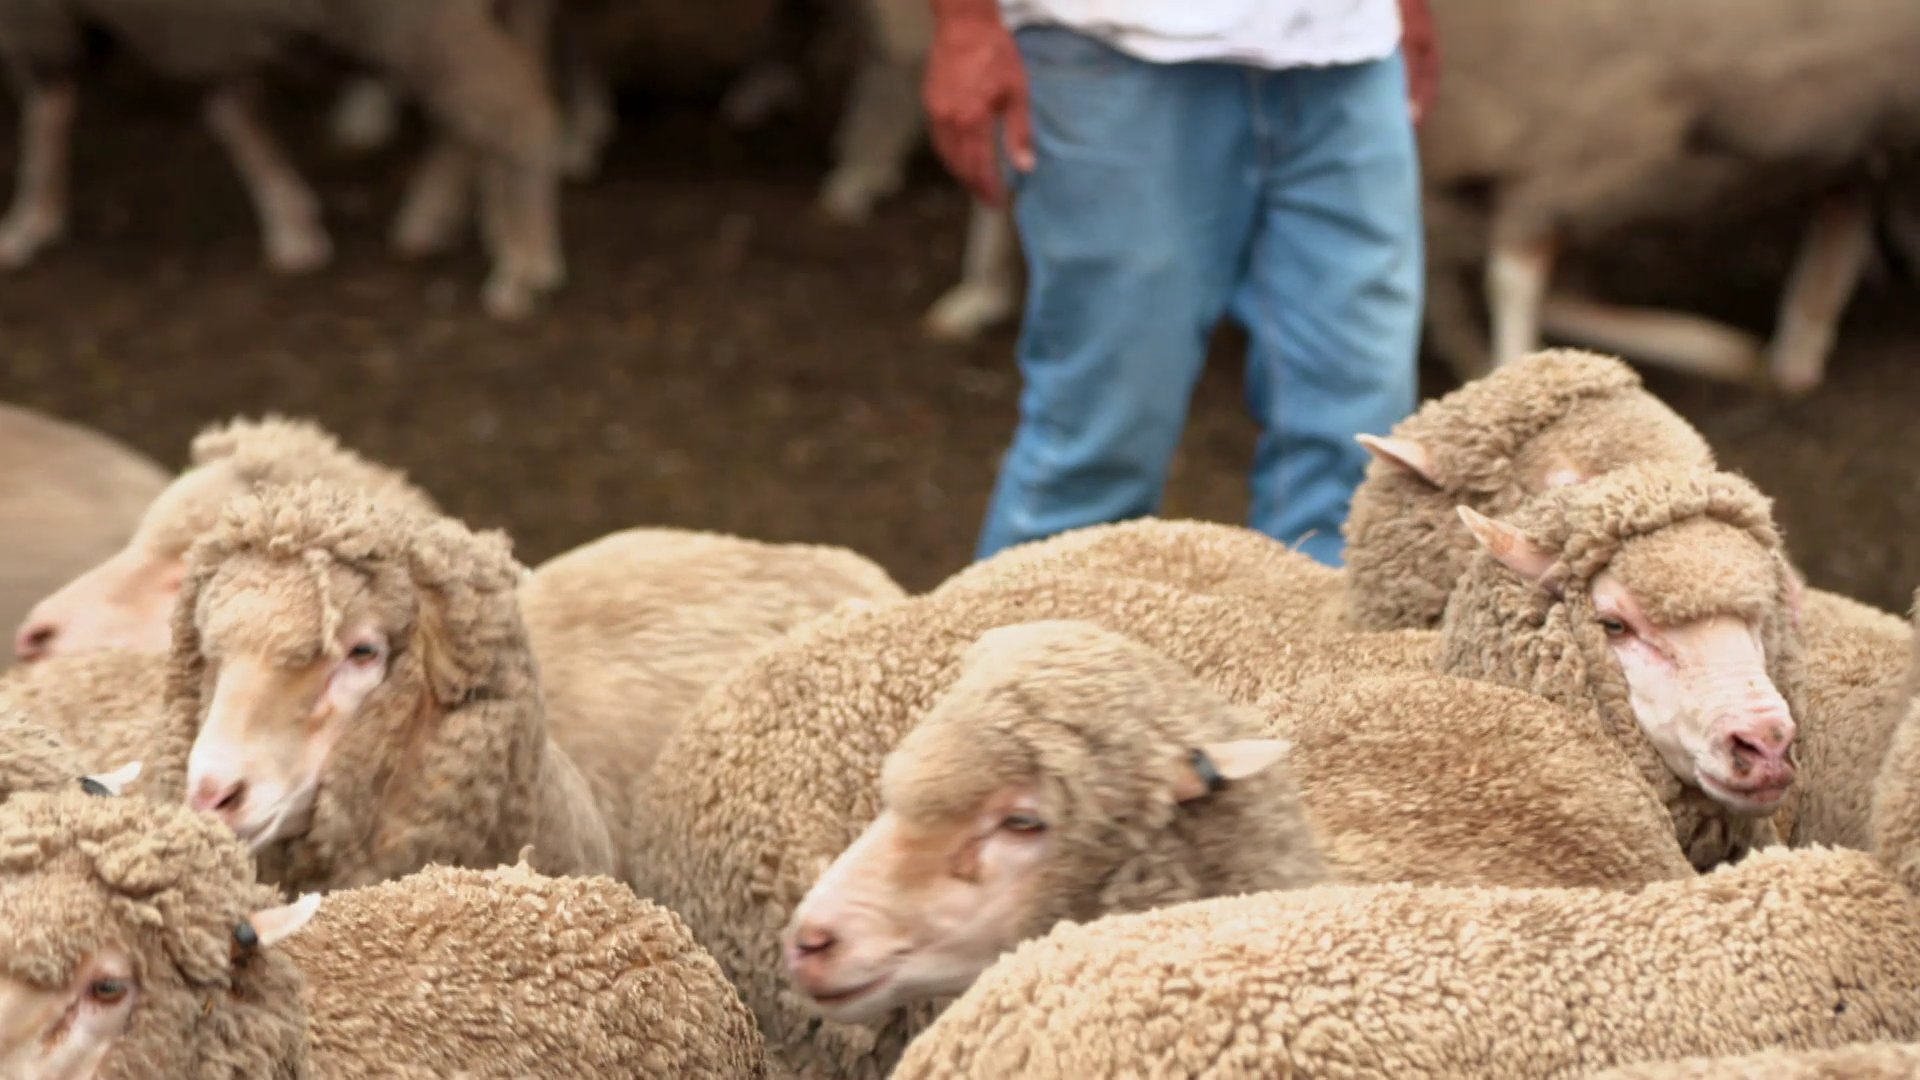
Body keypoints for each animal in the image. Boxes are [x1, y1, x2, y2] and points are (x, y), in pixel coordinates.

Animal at [0, 0, 567, 318]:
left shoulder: (40, 15)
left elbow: (45, 109)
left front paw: (26, 224)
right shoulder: (206, 28)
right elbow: (231, 113)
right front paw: (292, 226)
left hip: (419, 21)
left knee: (514, 107)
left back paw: (521, 268)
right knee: (490, 106)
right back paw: (468, 225)